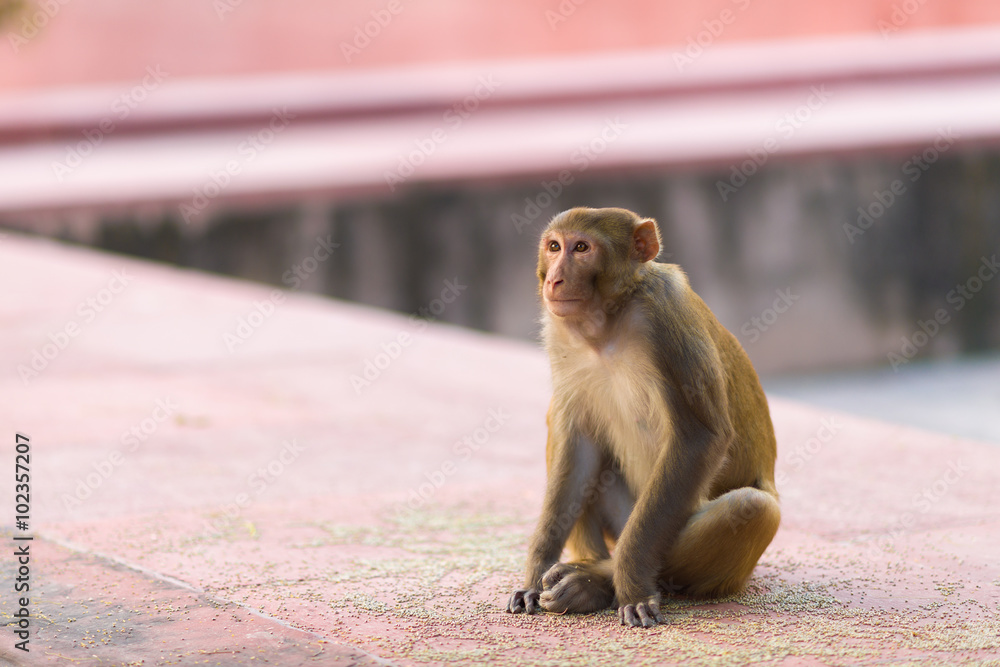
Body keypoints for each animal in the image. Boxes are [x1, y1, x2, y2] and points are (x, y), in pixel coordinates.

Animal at [506, 207, 780, 627]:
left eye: (582, 248)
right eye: (554, 247)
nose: (554, 279)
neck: (607, 322)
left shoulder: (666, 313)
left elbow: (698, 439)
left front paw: (631, 586)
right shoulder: (558, 332)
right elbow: (578, 443)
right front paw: (535, 577)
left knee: (752, 507)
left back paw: (595, 579)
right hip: (619, 523)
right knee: (561, 418)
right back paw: (588, 573)